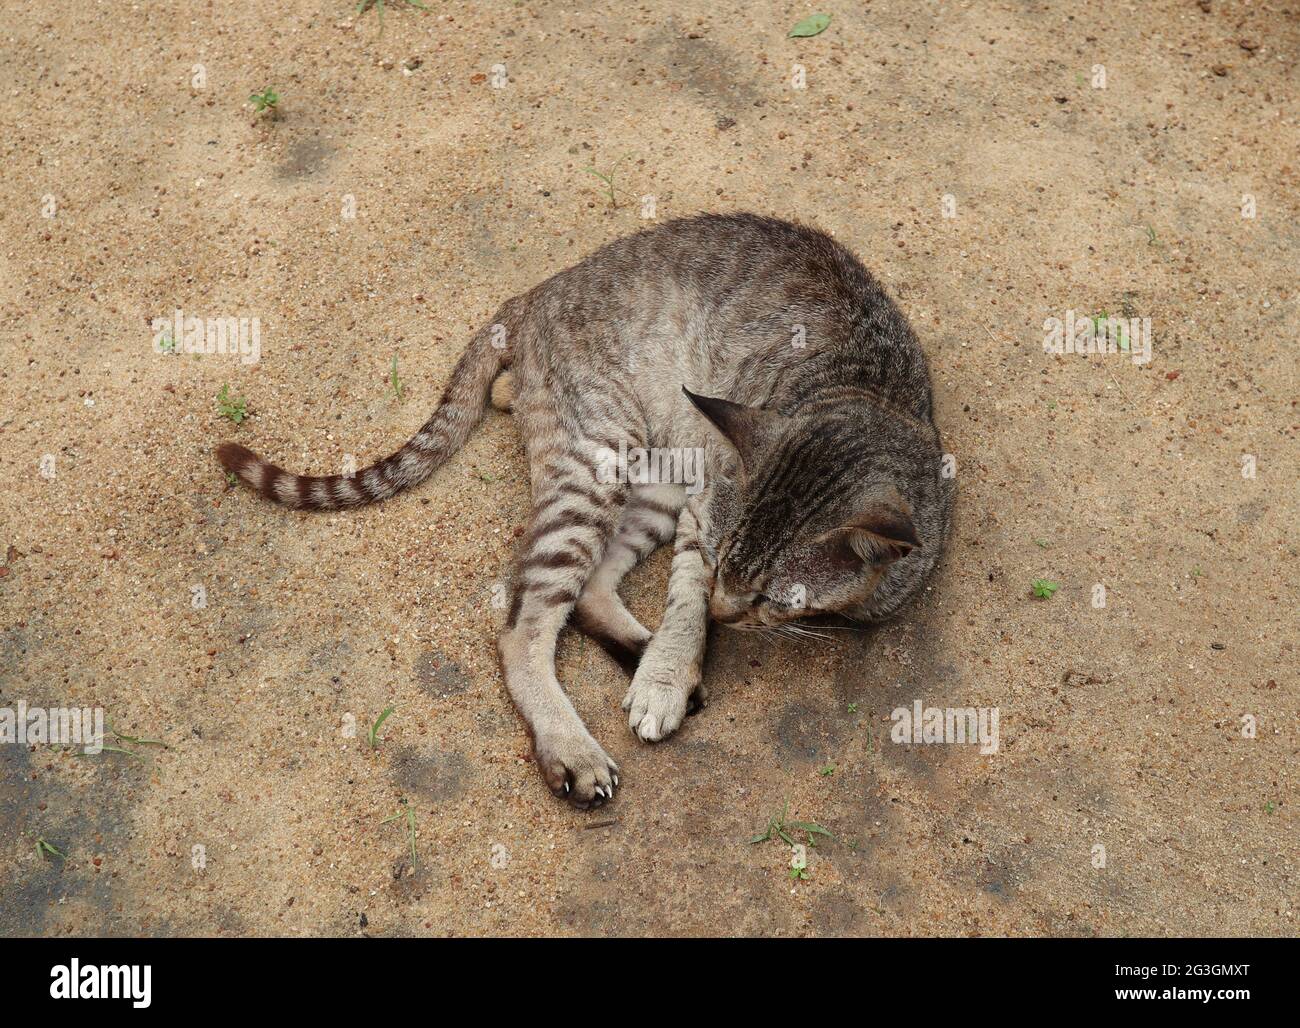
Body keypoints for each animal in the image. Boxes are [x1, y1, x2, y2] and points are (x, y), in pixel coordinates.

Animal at [218, 213, 956, 810]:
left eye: (772, 597)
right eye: (727, 569)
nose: (727, 613)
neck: (857, 388)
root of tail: (533, 294)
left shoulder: (703, 505)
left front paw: (671, 662)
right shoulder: (703, 516)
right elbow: (684, 597)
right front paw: (673, 663)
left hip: (656, 476)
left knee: (593, 586)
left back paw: (641, 651)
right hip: (599, 460)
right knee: (521, 625)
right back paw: (574, 746)